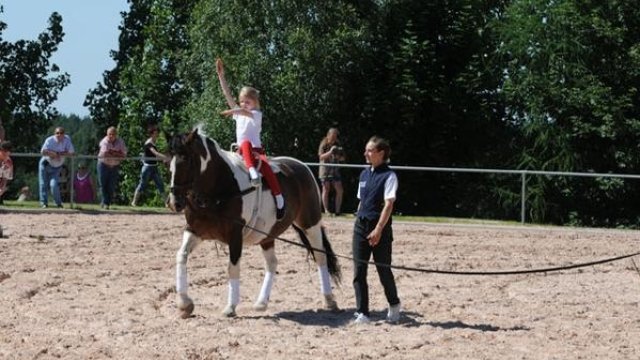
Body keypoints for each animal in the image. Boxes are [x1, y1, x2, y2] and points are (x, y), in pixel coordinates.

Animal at [168, 129, 342, 318]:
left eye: (185, 160)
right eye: (168, 162)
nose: (174, 202)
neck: (220, 187)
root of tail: (302, 166)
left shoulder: (235, 235)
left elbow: (233, 268)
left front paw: (230, 307)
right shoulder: (194, 230)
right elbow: (181, 255)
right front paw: (184, 304)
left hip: (310, 224)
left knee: (320, 256)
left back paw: (329, 300)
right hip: (268, 235)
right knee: (272, 263)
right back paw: (261, 302)